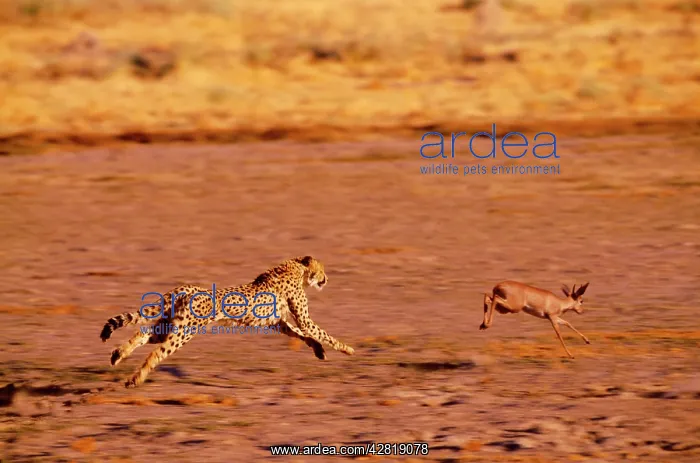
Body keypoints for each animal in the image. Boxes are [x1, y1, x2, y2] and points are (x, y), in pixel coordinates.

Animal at [99, 256, 355, 388]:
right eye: (322, 270)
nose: (326, 279)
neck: (297, 267)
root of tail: (187, 288)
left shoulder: (277, 322)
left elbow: (301, 334)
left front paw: (319, 351)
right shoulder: (301, 318)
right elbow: (319, 332)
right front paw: (347, 349)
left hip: (171, 325)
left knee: (142, 334)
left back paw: (118, 355)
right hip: (184, 332)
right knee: (157, 352)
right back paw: (135, 378)